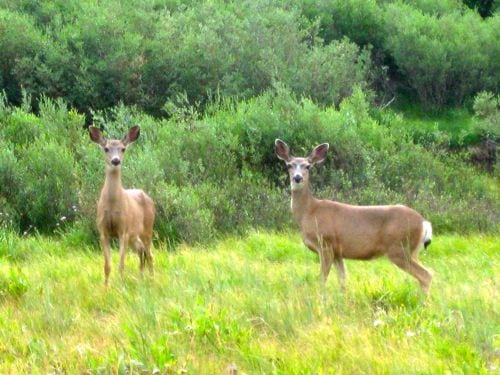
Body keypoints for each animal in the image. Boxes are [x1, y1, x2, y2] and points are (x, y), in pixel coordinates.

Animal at [88, 125, 154, 286]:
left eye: (123, 149)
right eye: (106, 148)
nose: (116, 160)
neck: (112, 207)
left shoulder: (123, 230)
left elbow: (121, 264)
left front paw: (122, 286)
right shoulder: (103, 231)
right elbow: (107, 265)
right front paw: (105, 287)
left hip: (147, 229)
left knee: (150, 254)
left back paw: (152, 280)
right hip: (134, 236)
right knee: (142, 251)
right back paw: (141, 278)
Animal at [274, 140, 434, 296]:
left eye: (308, 166)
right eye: (289, 165)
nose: (297, 177)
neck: (309, 212)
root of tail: (424, 222)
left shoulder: (325, 244)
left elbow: (322, 279)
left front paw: (321, 299)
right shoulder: (338, 252)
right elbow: (343, 281)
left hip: (399, 248)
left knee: (426, 275)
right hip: (412, 251)